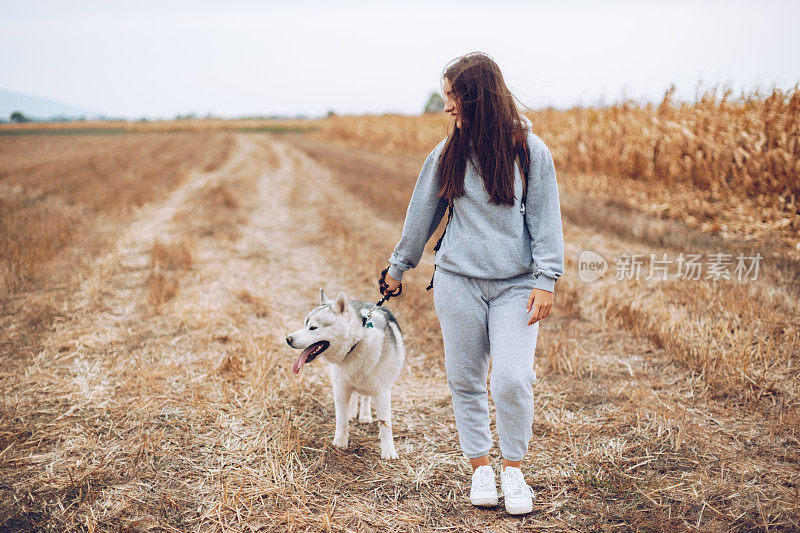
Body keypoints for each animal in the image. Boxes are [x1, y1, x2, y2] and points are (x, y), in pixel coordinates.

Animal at [284, 288, 404, 460]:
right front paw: (340, 442)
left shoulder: (382, 392)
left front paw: (388, 451)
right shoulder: (341, 388)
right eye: (304, 324)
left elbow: (385, 424)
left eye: (313, 328)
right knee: (355, 396)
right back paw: (352, 412)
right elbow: (341, 420)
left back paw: (365, 415)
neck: (355, 345)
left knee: (366, 397)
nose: (288, 339)